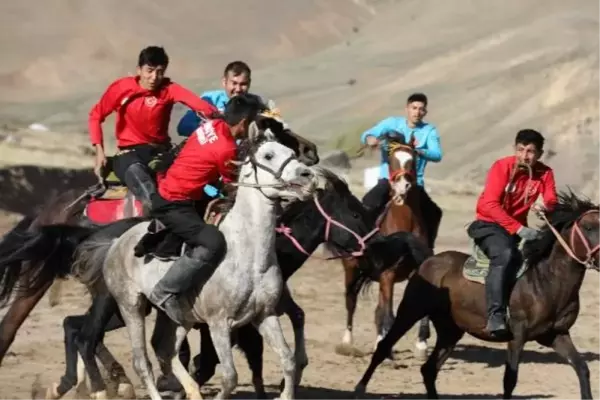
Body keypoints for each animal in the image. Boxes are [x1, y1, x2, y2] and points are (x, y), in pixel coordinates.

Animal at [78, 123, 324, 398]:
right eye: (268, 155)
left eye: (289, 152)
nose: (308, 176)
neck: (249, 257)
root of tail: (115, 242)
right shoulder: (219, 323)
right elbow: (230, 377)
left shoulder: (265, 315)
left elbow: (288, 361)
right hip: (130, 307)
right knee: (141, 361)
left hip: (175, 318)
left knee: (165, 350)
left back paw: (191, 390)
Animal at [340, 132, 434, 360]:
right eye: (391, 161)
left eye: (412, 160)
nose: (402, 188)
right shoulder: (388, 275)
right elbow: (389, 315)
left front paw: (421, 345)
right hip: (351, 268)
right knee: (351, 301)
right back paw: (347, 343)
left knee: (378, 311)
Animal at [354, 191, 596, 400]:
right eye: (589, 227)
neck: (546, 280)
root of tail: (427, 260)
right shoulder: (517, 336)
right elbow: (510, 379)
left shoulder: (557, 335)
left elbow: (582, 368)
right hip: (411, 311)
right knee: (384, 348)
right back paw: (359, 388)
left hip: (450, 330)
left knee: (429, 369)